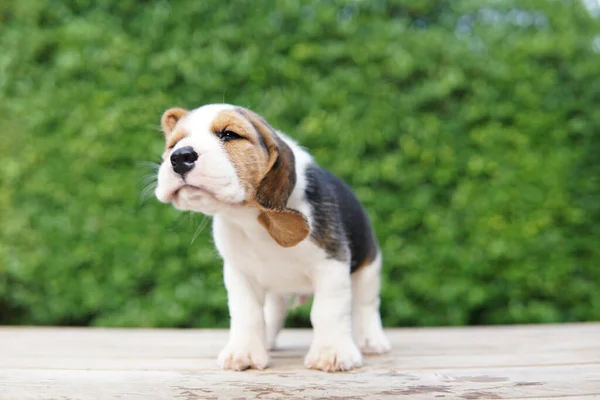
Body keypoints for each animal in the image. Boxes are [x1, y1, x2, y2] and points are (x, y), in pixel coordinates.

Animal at [155, 104, 390, 372]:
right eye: (174, 144)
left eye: (229, 135)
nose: (179, 157)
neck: (250, 219)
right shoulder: (240, 273)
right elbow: (247, 313)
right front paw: (244, 352)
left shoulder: (331, 264)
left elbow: (328, 310)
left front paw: (331, 353)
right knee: (273, 312)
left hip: (369, 266)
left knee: (366, 304)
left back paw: (371, 341)